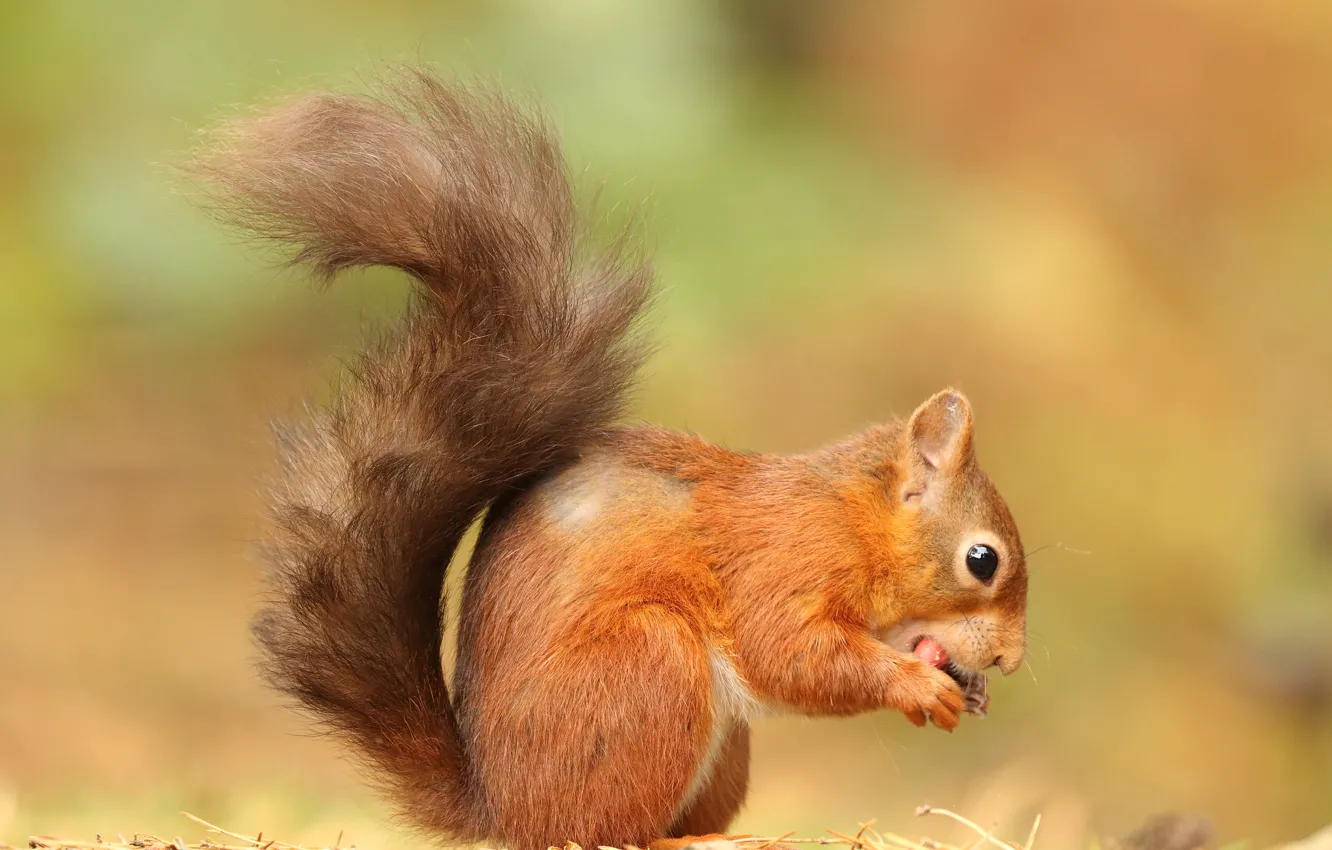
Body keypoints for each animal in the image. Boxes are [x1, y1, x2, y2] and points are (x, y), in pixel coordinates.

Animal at [187, 69, 1028, 850]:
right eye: (981, 560)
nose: (1014, 661)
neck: (852, 518)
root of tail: (502, 810)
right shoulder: (786, 562)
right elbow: (792, 654)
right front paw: (915, 685)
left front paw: (967, 686)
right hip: (649, 671)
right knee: (601, 829)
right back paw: (687, 838)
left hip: (716, 745)